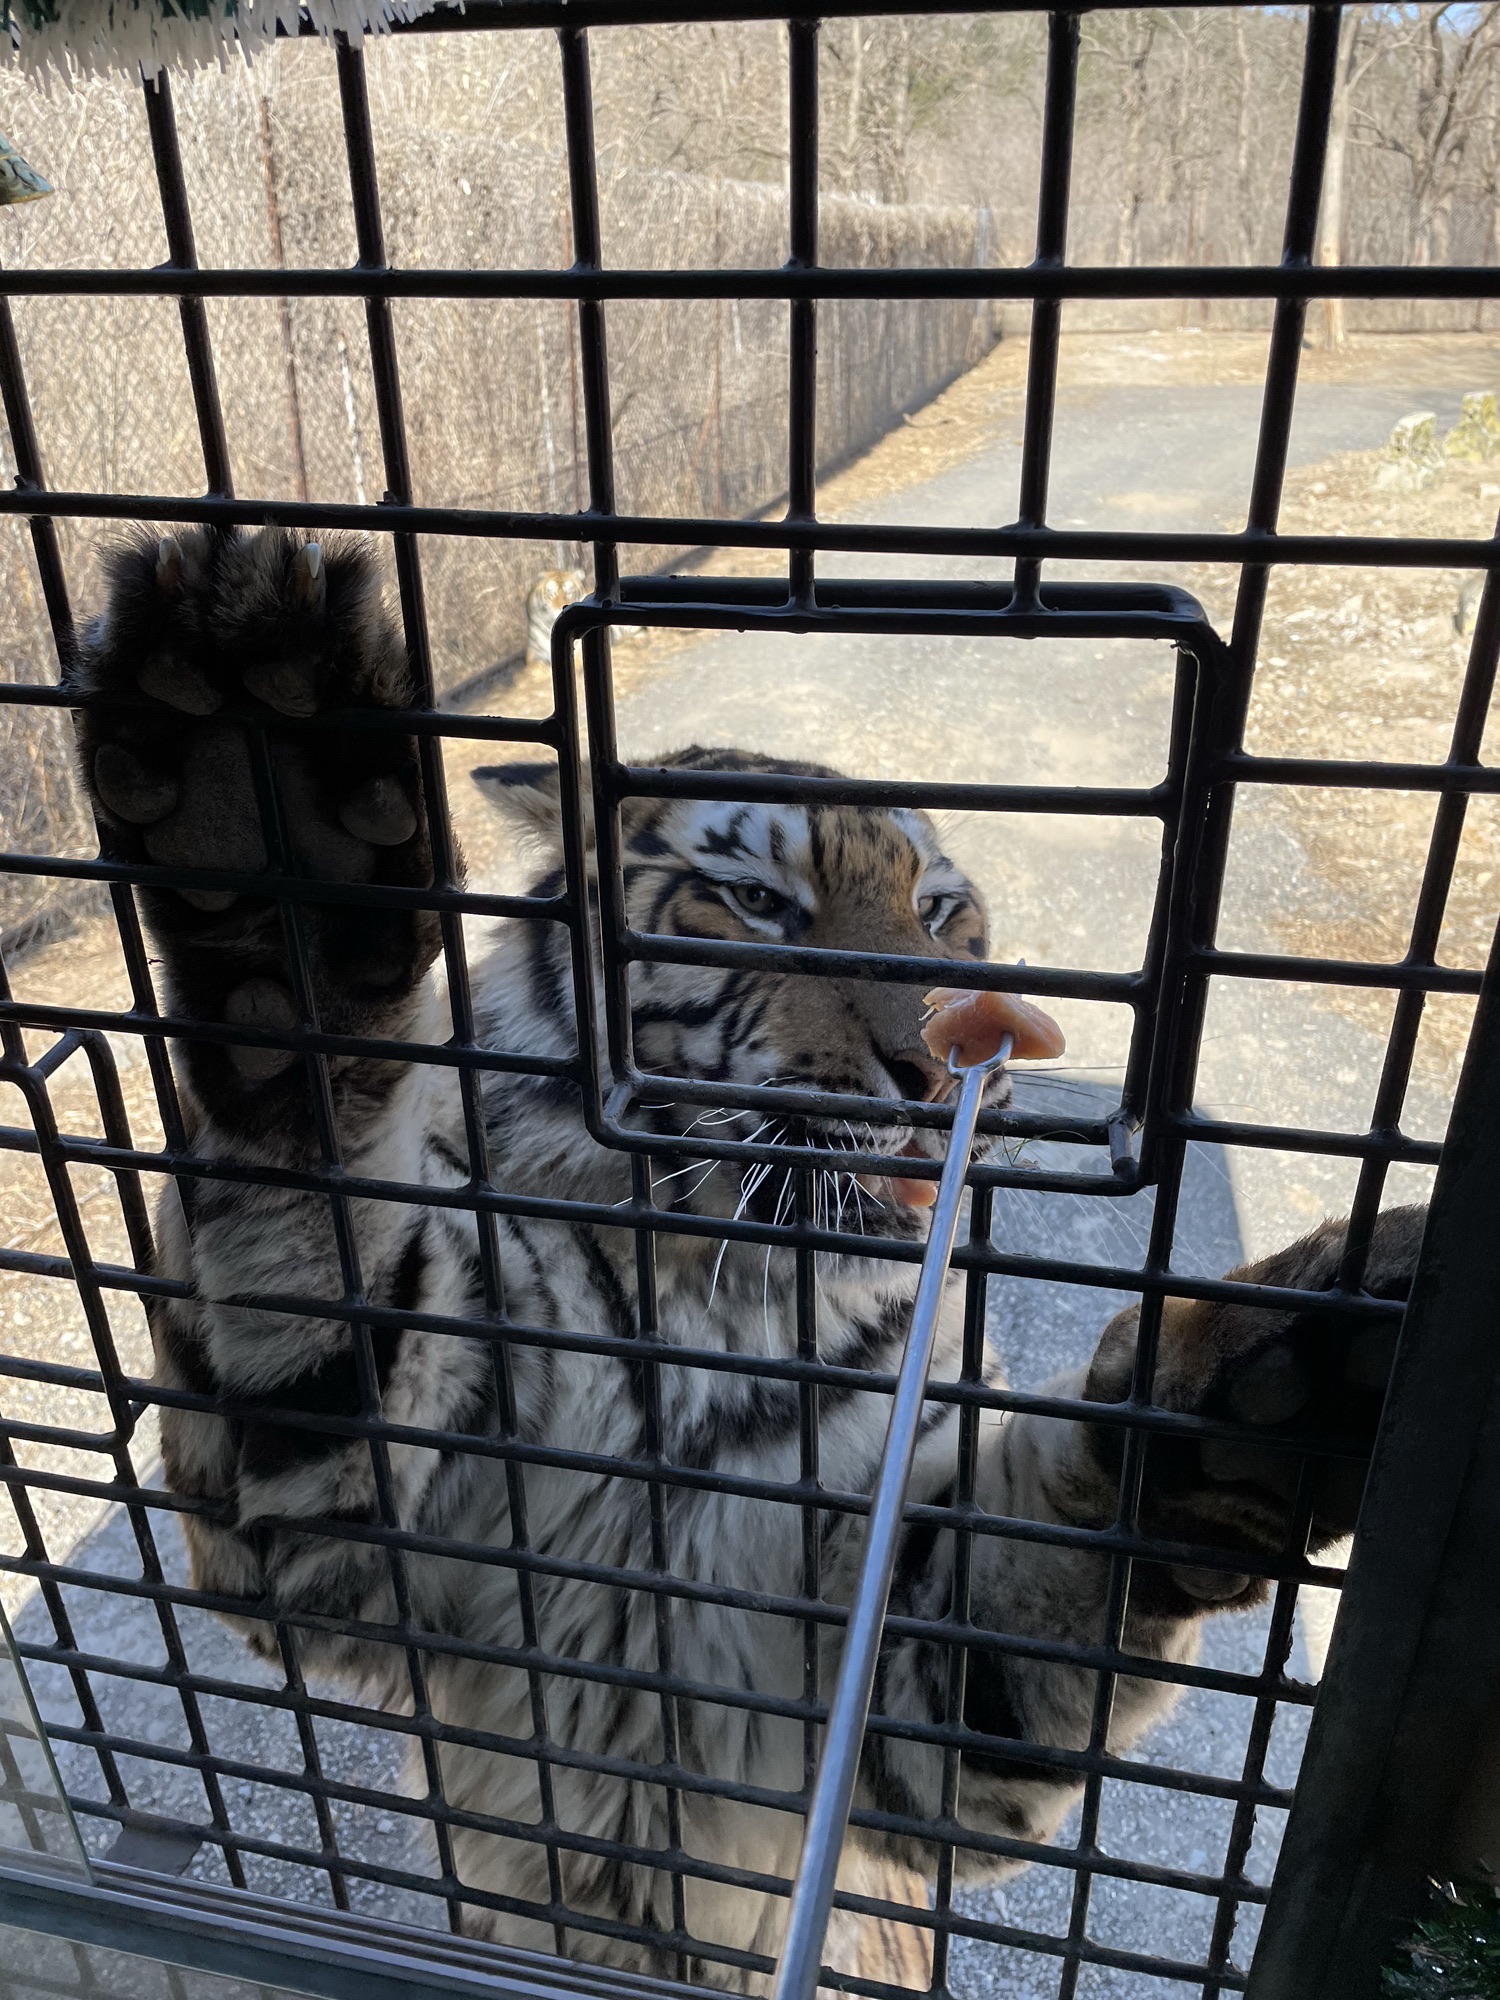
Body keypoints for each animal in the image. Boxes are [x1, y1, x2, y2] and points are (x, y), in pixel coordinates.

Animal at [74, 525, 1421, 1992]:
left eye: (940, 910)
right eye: (755, 901)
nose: (945, 1066)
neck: (720, 1278)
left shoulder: (891, 1684)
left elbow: (1050, 1564)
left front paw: (1275, 1390)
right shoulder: (364, 1551)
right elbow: (308, 1218)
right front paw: (253, 801)